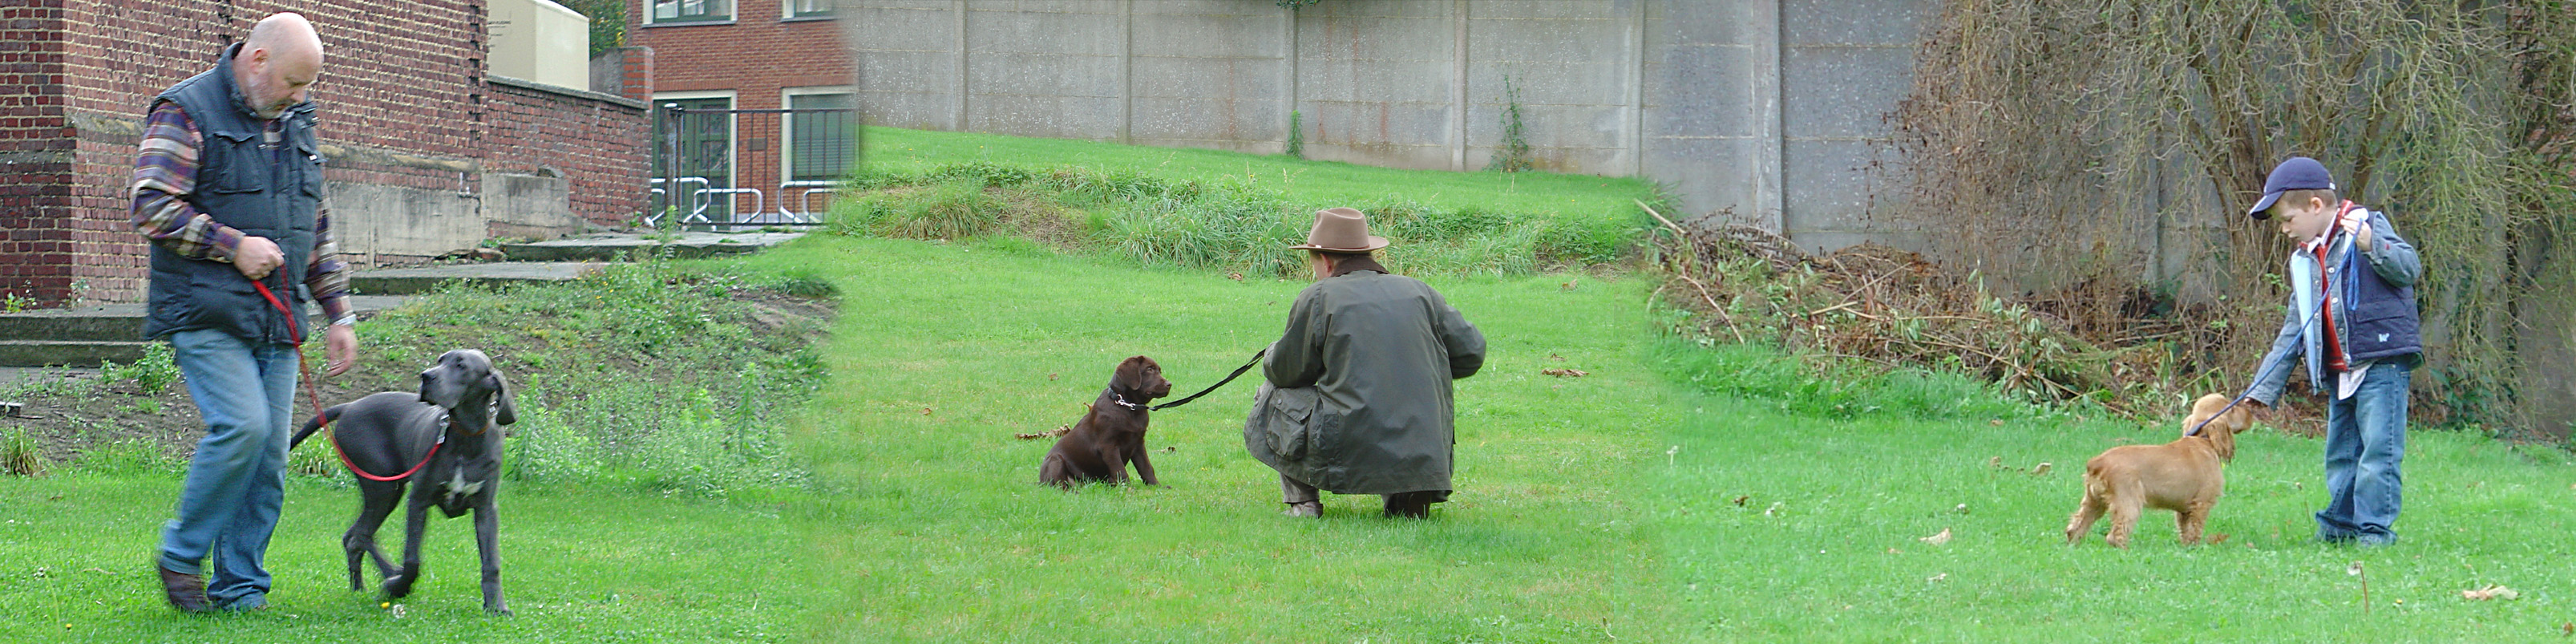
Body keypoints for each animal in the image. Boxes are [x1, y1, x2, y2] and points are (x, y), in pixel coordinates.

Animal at [292, 347, 517, 613]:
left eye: (461, 365)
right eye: (440, 360)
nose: (426, 376)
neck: (466, 436)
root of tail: (349, 405)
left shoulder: (486, 508)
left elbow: (492, 562)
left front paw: (496, 606)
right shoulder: (418, 500)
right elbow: (412, 559)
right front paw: (398, 586)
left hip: (387, 490)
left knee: (353, 537)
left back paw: (359, 588)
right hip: (384, 486)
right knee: (361, 535)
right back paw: (391, 577)